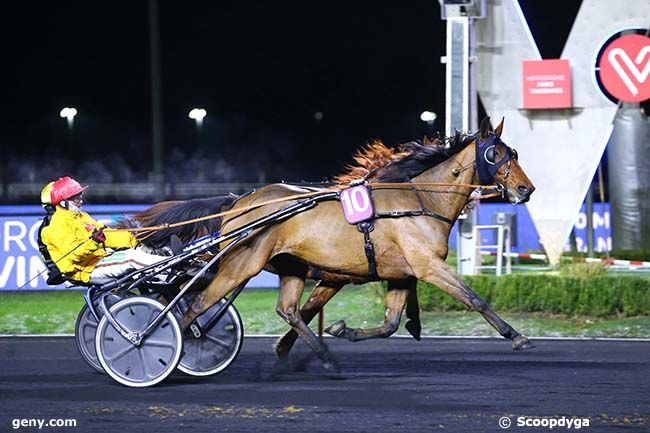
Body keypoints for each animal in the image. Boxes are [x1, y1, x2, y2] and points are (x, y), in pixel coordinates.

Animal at [180, 118, 536, 372]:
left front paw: (343, 330)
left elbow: (390, 324)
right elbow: (475, 299)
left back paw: (325, 357)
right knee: (198, 306)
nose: (526, 189)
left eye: (515, 153)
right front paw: (517, 336)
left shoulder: (401, 274)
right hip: (241, 264)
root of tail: (240, 201)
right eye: (495, 154)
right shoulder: (427, 266)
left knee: (289, 310)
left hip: (290, 266)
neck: (422, 200)